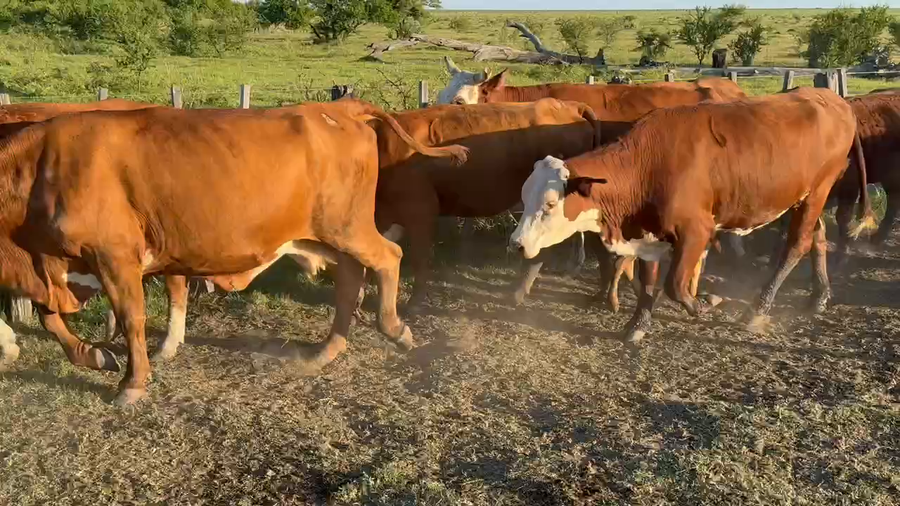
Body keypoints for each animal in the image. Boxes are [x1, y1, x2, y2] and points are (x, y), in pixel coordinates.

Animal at [0, 98, 468, 404]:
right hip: (328, 234)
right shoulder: (56, 267)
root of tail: (337, 108)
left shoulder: (113, 257)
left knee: (388, 256)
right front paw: (94, 355)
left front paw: (132, 383)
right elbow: (49, 318)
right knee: (352, 276)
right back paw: (327, 349)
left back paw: (395, 328)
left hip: (346, 227)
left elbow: (131, 319)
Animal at [509, 88, 874, 343]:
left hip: (818, 192)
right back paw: (819, 296)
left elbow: (675, 285)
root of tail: (834, 99)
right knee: (817, 238)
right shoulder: (649, 234)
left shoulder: (697, 231)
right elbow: (649, 283)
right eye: (524, 196)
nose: (517, 244)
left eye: (550, 204)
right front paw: (638, 325)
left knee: (796, 245)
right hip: (806, 198)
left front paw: (704, 302)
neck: (648, 164)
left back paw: (758, 308)